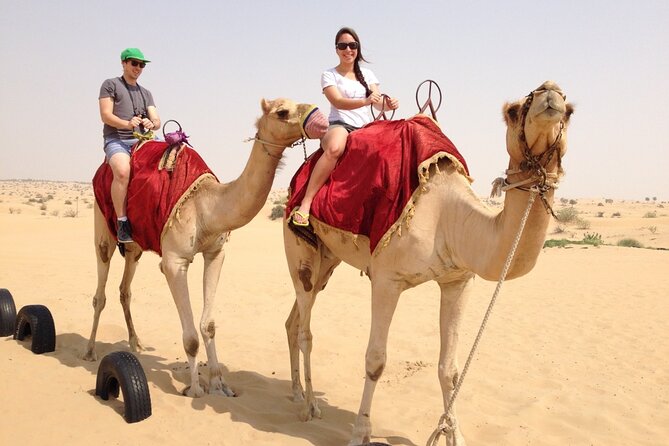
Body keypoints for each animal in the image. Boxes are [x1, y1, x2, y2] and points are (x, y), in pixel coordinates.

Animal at [84, 98, 316, 398]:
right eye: (282, 112)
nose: (316, 115)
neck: (207, 206)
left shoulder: (215, 253)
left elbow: (209, 325)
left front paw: (219, 383)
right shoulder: (173, 262)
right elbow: (192, 338)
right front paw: (194, 389)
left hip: (134, 246)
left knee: (125, 289)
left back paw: (137, 344)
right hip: (103, 225)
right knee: (100, 290)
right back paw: (90, 350)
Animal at [283, 81, 574, 445]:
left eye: (570, 110)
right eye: (513, 110)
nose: (551, 92)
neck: (448, 218)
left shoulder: (457, 280)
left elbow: (450, 369)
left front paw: (454, 434)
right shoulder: (386, 278)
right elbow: (375, 360)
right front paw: (360, 433)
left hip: (327, 259)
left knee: (294, 320)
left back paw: (295, 393)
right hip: (298, 247)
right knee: (305, 327)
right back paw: (309, 407)